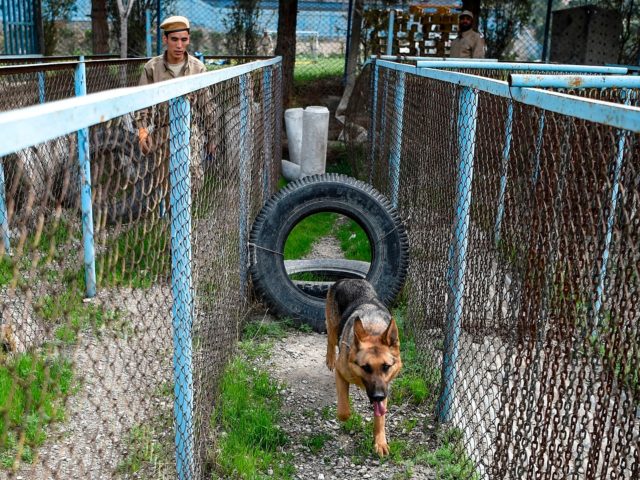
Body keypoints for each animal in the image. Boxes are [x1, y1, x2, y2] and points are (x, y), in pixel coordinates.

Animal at [328, 278, 402, 454]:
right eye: (366, 367)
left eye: (386, 366)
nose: (378, 396)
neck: (373, 329)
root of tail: (349, 279)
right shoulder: (341, 374)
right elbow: (344, 411)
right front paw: (347, 416)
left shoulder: (385, 387)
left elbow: (380, 418)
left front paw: (380, 442)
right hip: (333, 328)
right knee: (330, 341)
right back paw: (329, 359)